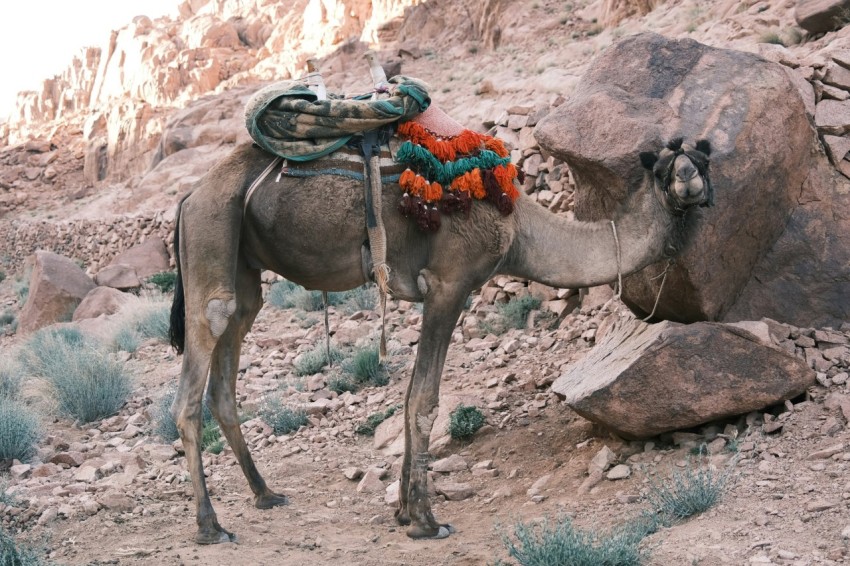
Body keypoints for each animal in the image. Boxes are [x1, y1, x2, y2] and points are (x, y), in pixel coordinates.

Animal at [166, 134, 708, 544]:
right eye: (665, 168)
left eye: (702, 160)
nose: (689, 179)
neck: (519, 228)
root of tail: (188, 197)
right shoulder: (450, 284)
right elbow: (424, 400)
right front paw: (427, 522)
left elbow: (409, 395)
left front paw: (405, 511)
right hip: (212, 231)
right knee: (196, 374)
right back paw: (211, 527)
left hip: (243, 266)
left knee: (227, 374)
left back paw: (265, 494)